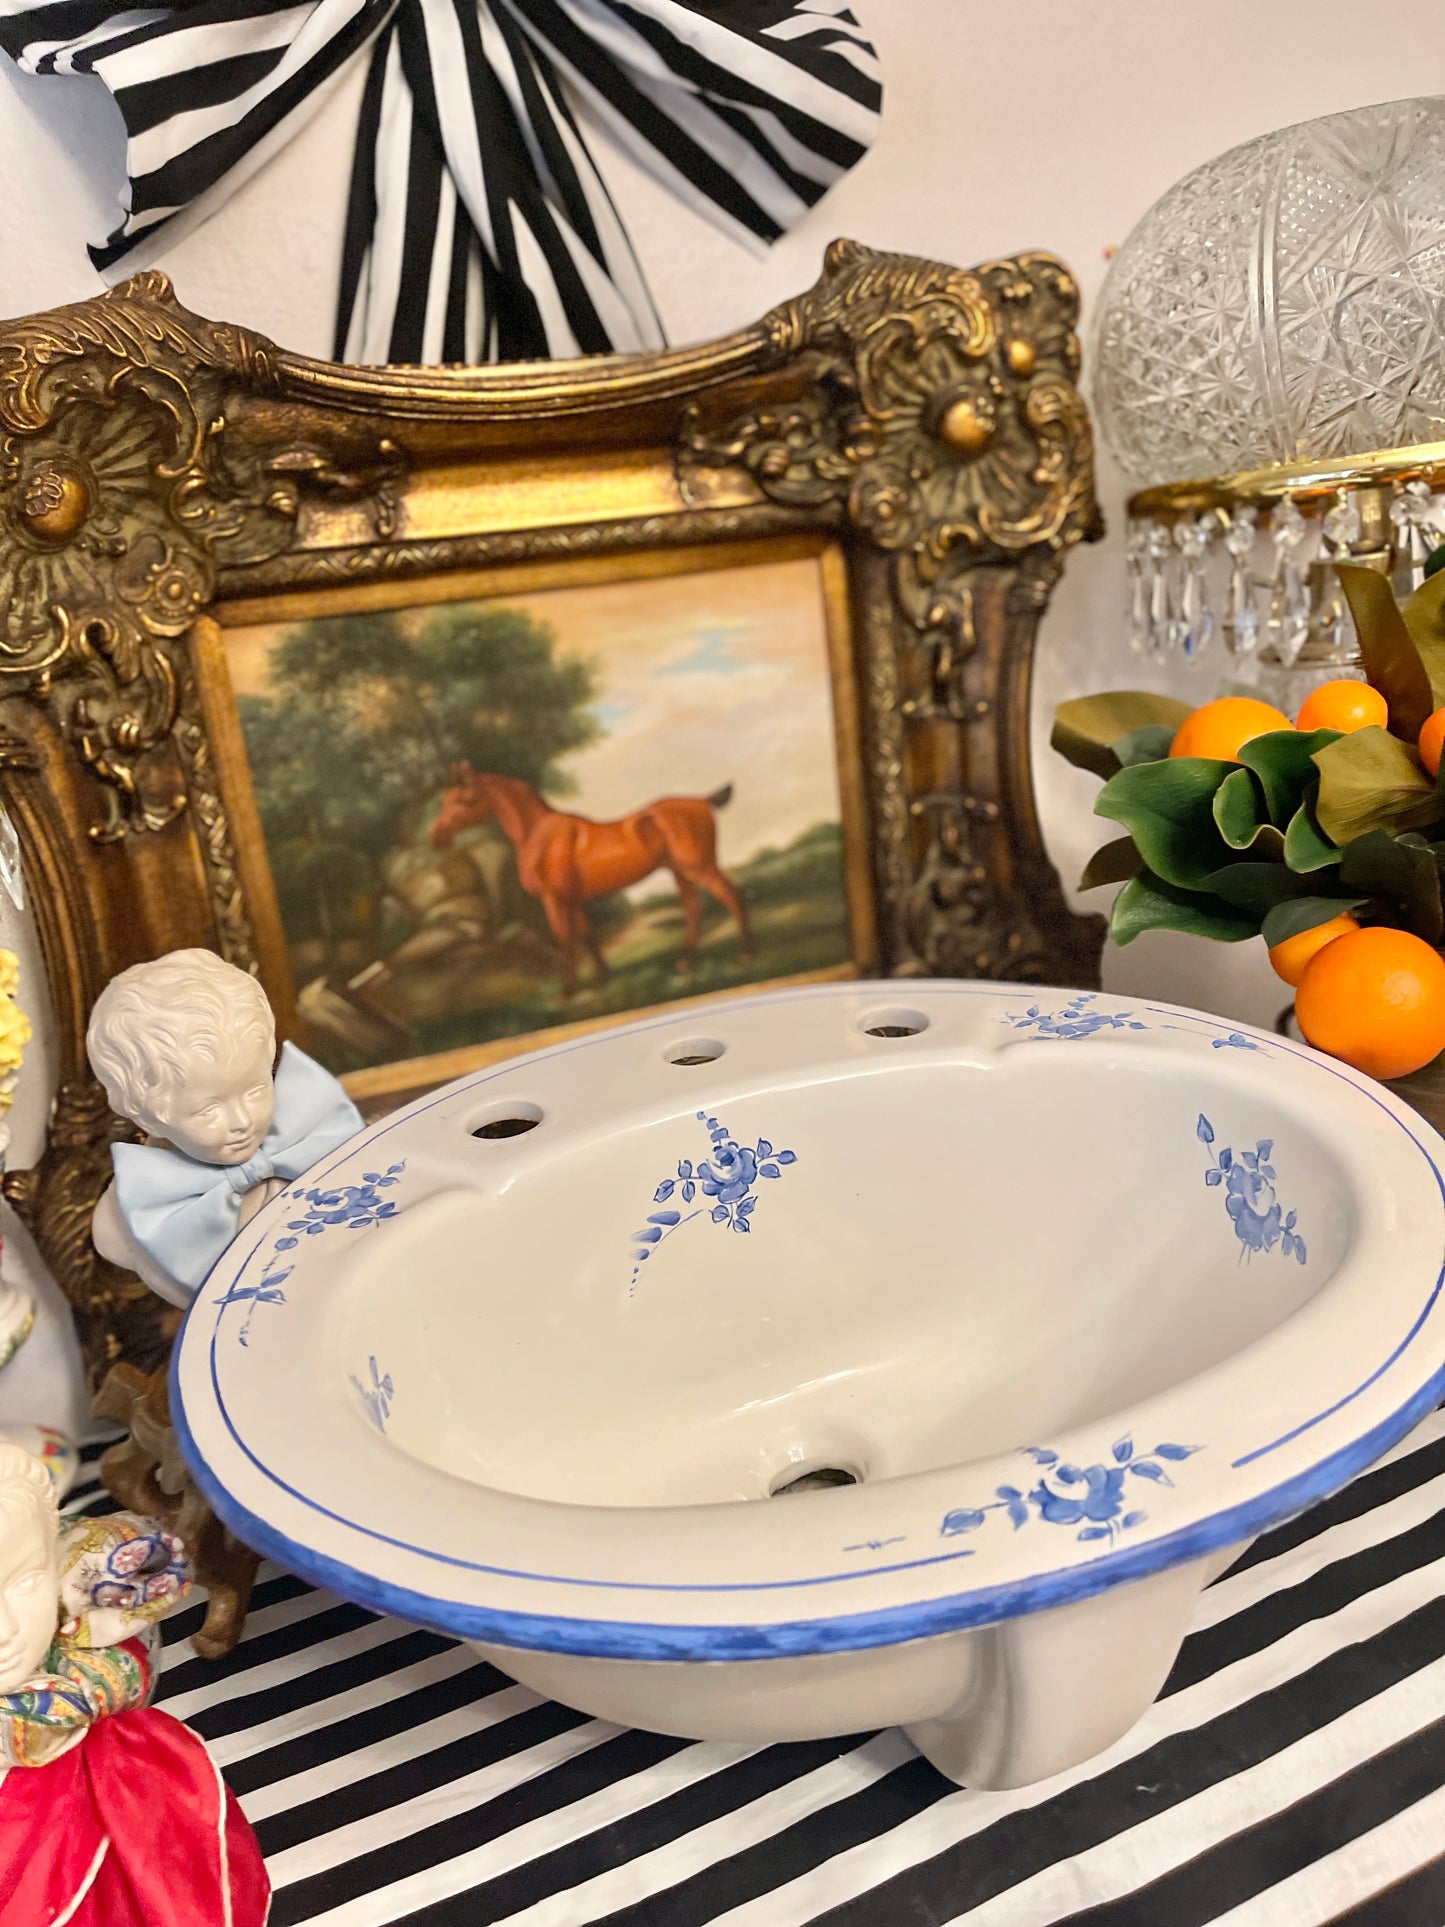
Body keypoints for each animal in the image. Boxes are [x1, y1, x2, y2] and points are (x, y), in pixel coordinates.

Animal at [433, 759, 759, 994]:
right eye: (445, 799)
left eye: (463, 798)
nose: (436, 837)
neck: (540, 834)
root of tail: (703, 800)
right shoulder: (574, 900)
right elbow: (588, 936)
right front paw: (604, 980)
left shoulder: (555, 901)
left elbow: (565, 939)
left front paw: (568, 993)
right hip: (680, 873)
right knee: (693, 908)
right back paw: (685, 964)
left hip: (700, 868)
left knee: (733, 897)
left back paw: (745, 956)